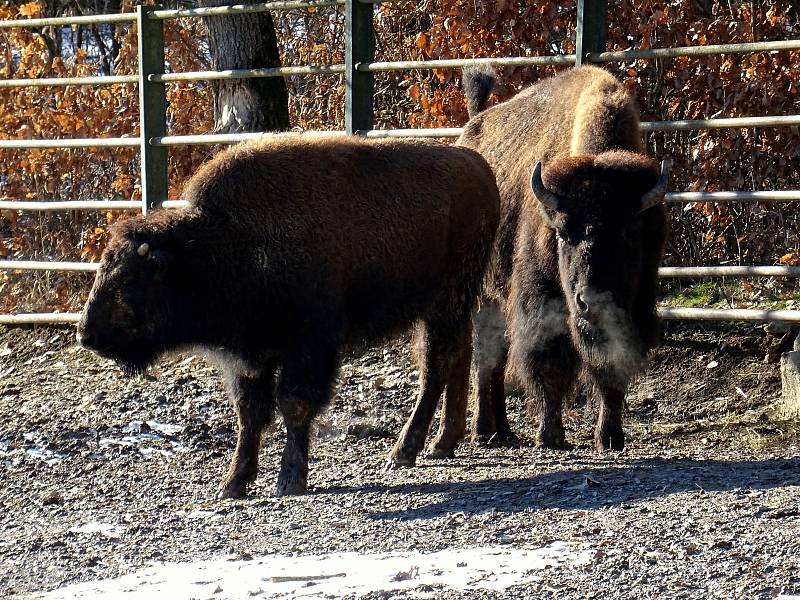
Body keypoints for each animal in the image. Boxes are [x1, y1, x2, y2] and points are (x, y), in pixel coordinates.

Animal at [76, 135, 500, 496]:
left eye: (130, 279)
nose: (86, 335)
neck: (221, 243)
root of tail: (477, 164)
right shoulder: (250, 358)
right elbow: (250, 414)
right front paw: (233, 484)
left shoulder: (308, 346)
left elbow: (293, 404)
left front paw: (290, 480)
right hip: (442, 307)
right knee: (452, 357)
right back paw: (439, 444)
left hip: (447, 300)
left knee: (435, 366)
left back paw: (403, 452)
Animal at [432, 65, 668, 452]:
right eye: (562, 233)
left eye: (631, 233)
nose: (592, 302)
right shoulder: (540, 300)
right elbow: (548, 364)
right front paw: (551, 435)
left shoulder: (635, 306)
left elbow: (610, 371)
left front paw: (610, 437)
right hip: (485, 293)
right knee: (486, 359)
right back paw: (484, 431)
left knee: (498, 359)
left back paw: (503, 431)